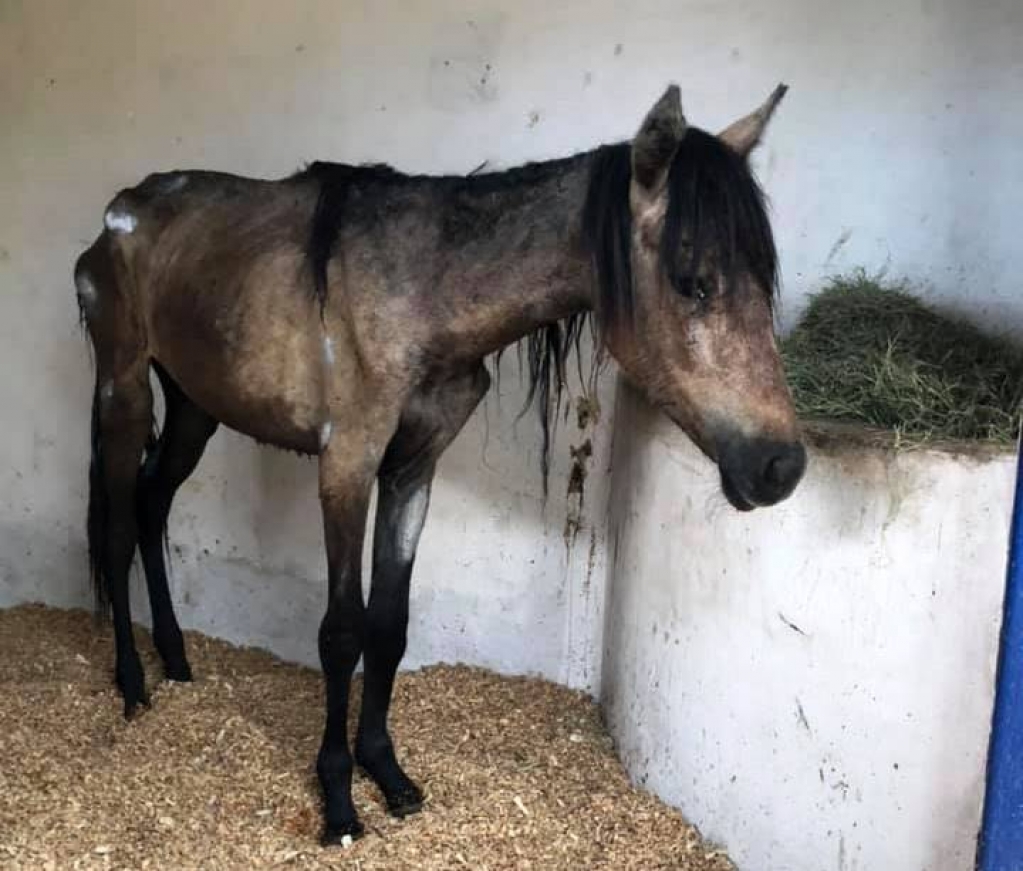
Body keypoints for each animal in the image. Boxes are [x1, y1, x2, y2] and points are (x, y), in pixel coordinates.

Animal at [74, 83, 806, 843]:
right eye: (694, 282)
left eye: (763, 280)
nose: (781, 465)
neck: (421, 293)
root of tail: (118, 216)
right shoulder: (346, 465)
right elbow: (342, 631)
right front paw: (339, 800)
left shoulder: (411, 470)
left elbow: (389, 623)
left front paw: (387, 771)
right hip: (123, 390)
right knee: (120, 527)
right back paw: (132, 683)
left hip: (194, 406)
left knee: (152, 504)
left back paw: (176, 659)